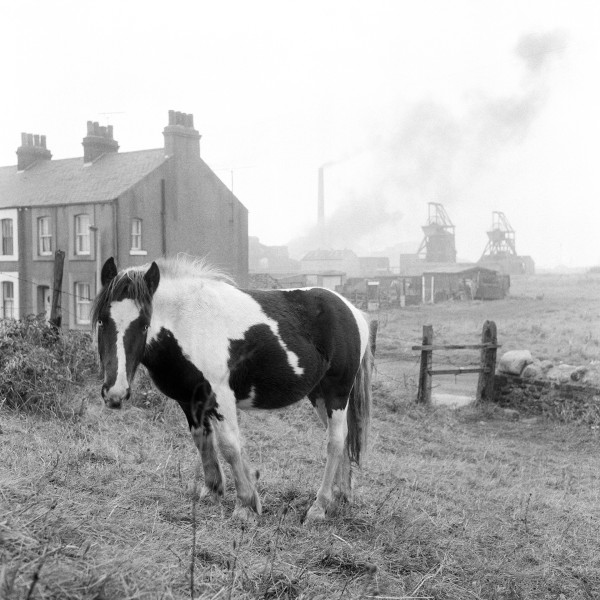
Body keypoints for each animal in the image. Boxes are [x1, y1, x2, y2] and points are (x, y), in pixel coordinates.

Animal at [91, 255, 372, 524]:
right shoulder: (190, 399)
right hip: (319, 395)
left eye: (144, 324)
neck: (189, 322)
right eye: (103, 321)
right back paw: (340, 496)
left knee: (335, 441)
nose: (115, 393)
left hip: (337, 393)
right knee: (343, 437)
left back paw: (318, 507)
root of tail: (353, 311)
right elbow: (202, 439)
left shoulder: (220, 396)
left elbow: (229, 445)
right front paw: (212, 490)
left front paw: (245, 506)